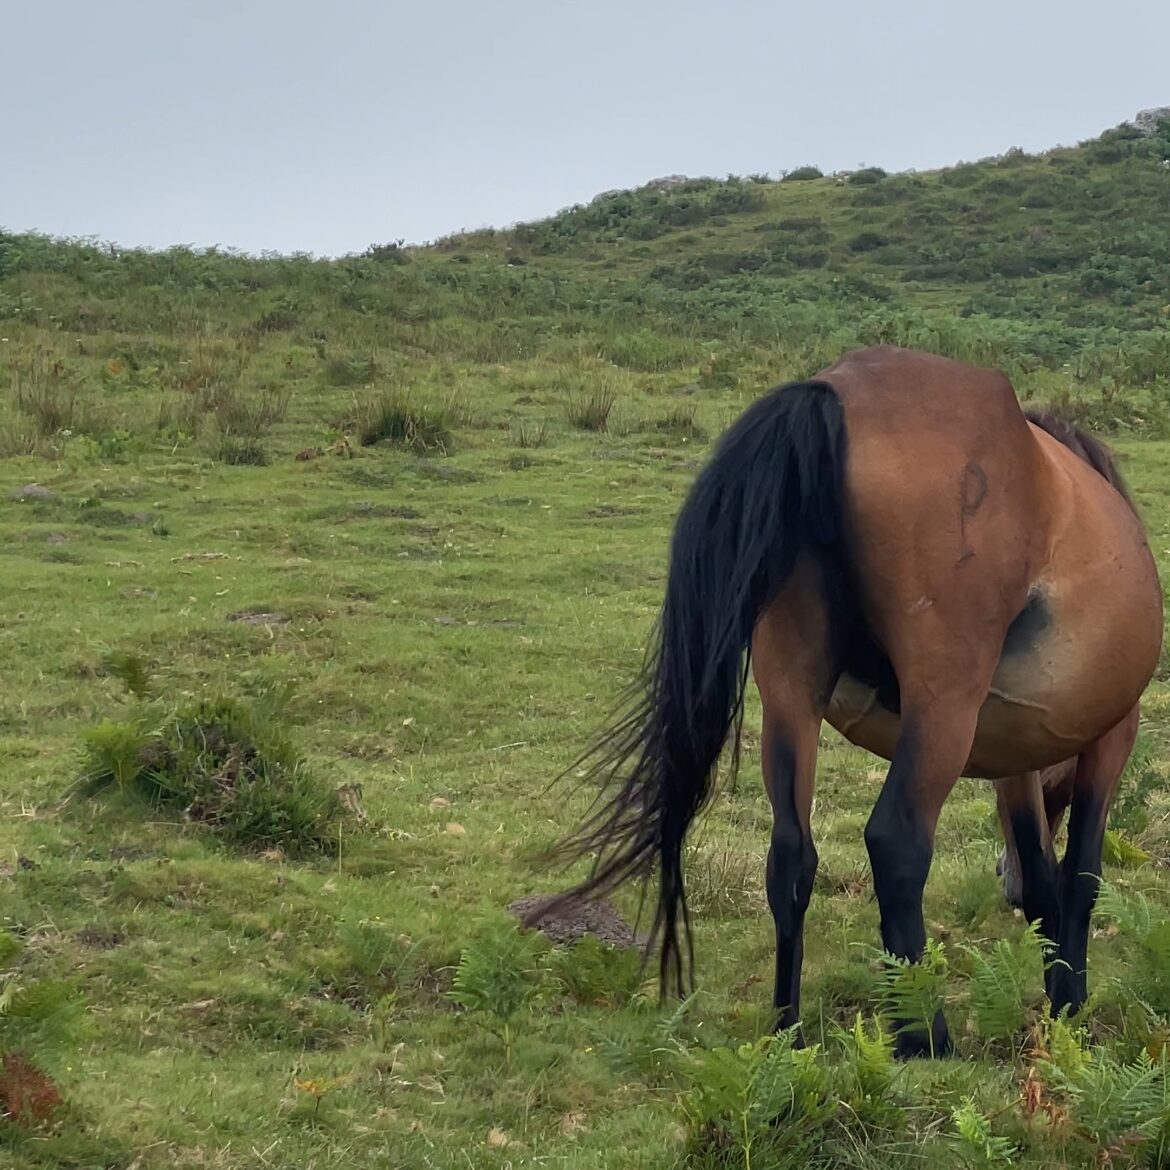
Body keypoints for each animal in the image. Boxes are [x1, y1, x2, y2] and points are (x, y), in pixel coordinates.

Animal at [546, 345, 1163, 1058]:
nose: (998, 873)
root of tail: (835, 392)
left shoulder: (1016, 755)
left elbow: (1042, 879)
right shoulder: (1110, 739)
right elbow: (1081, 877)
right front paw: (1069, 1004)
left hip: (791, 696)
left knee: (790, 857)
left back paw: (788, 1030)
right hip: (942, 708)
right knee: (896, 842)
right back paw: (924, 1036)